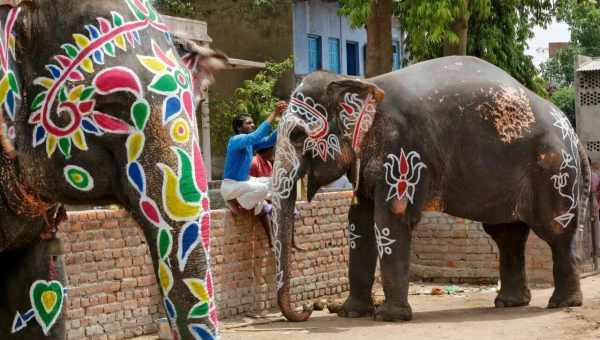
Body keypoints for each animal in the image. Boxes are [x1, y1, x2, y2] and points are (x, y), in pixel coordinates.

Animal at [270, 55, 592, 322]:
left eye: (297, 135)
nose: (309, 309)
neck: (364, 83)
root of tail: (573, 132)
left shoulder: (403, 150)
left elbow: (391, 219)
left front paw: (389, 318)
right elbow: (358, 223)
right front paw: (352, 313)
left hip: (554, 171)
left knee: (556, 231)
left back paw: (562, 304)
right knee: (507, 234)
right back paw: (510, 303)